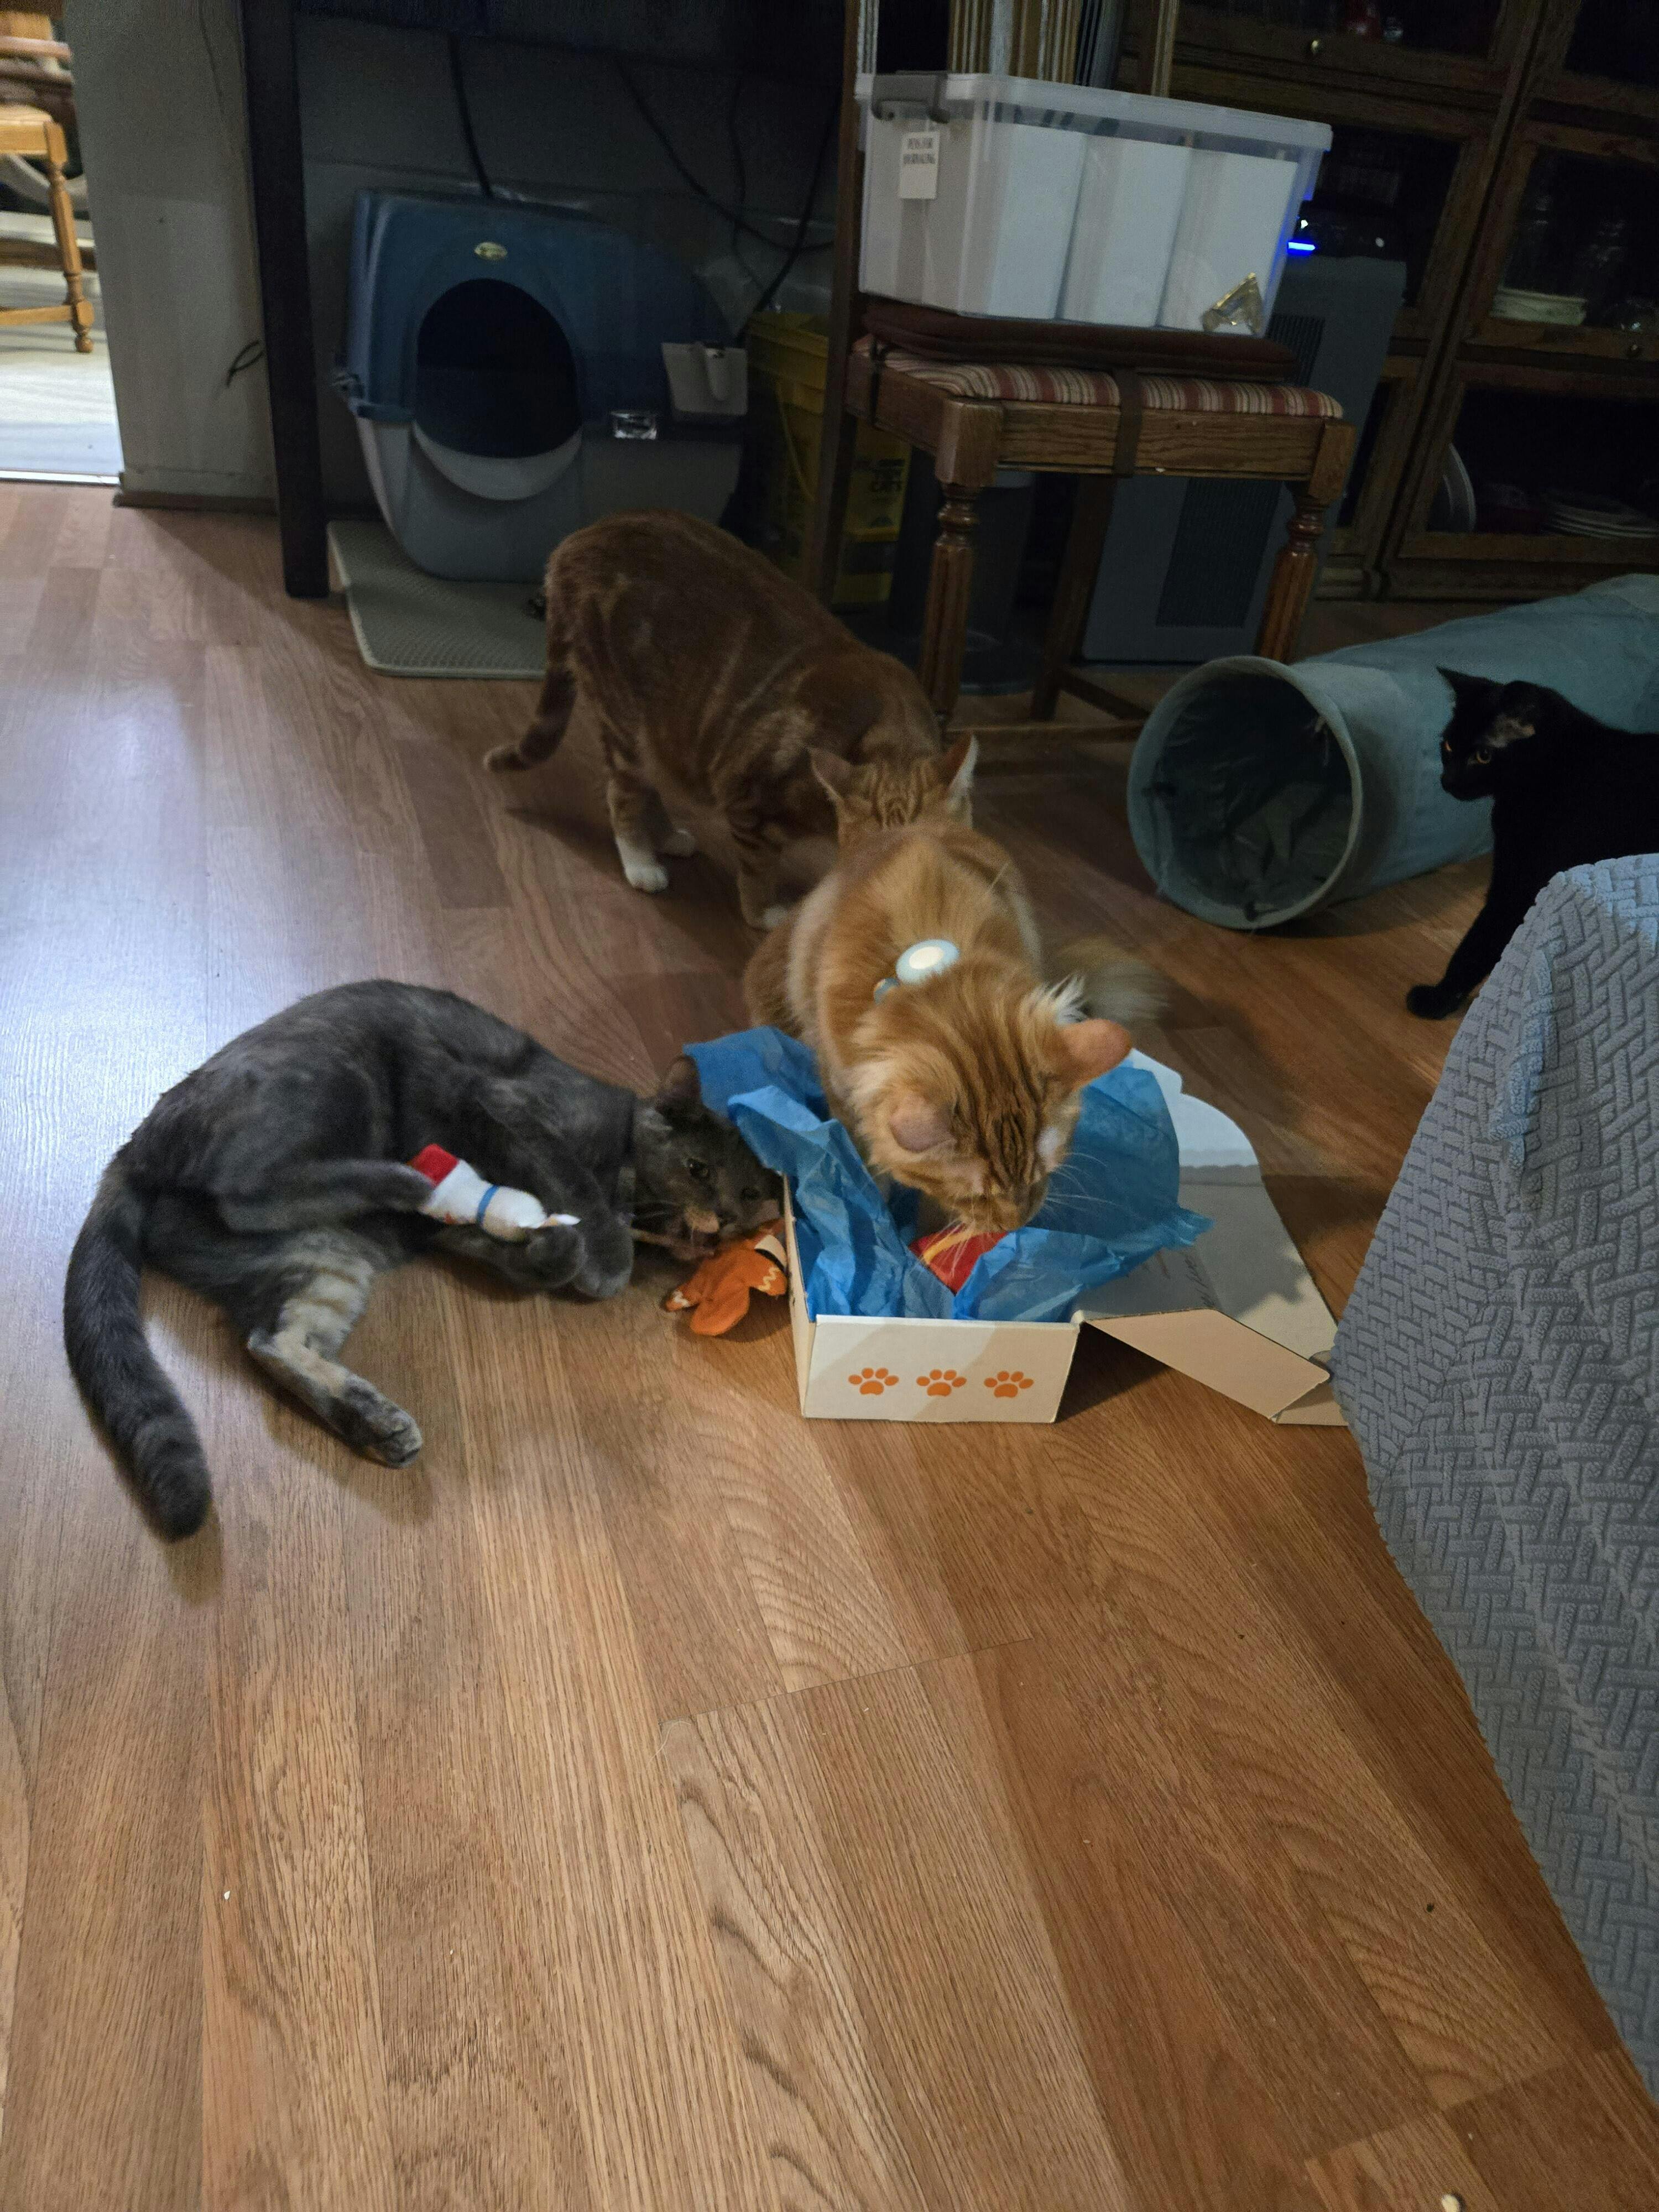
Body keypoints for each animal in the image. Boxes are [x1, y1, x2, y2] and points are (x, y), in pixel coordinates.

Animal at [64, 981, 779, 1540]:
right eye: (698, 1167)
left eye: (750, 1194)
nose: (726, 1219)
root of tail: (140, 1142)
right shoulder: (505, 1104)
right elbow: (573, 1184)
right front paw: (603, 1254)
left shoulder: (447, 1236)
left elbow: (511, 1246)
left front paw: (552, 1248)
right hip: (335, 1078)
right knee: (244, 1187)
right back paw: (403, 1178)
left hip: (331, 1255)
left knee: (273, 1339)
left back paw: (375, 1424)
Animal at [483, 510, 943, 927]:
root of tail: (573, 542)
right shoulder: (749, 799)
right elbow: (759, 872)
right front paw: (764, 914)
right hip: (626, 721)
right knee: (622, 794)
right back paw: (641, 861)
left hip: (663, 732)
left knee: (648, 784)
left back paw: (667, 836)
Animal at [744, 738, 1153, 1236]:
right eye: (976, 1195)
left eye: (1041, 1176)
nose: (1015, 1225)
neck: (935, 971)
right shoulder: (843, 1090)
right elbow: (871, 1165)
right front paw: (882, 1221)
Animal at [1407, 668, 1659, 1019]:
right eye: (1448, 744)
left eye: (1483, 755)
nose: (1447, 781)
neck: (1556, 768)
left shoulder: (1517, 887)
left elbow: (1477, 943)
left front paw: (1438, 999)